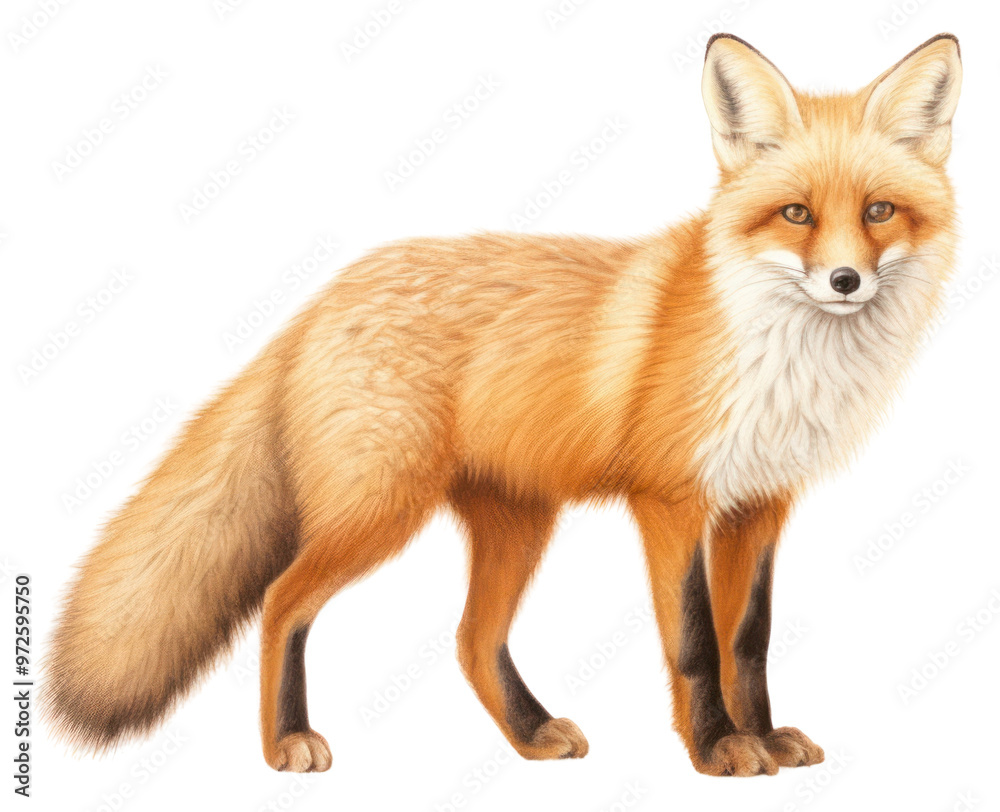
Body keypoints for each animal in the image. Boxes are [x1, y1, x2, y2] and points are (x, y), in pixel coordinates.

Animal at [44, 32, 962, 777]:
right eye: (796, 214)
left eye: (879, 211)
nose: (844, 280)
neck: (780, 358)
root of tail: (321, 299)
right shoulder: (672, 502)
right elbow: (696, 643)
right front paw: (717, 749)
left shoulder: (759, 504)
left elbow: (750, 641)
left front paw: (763, 736)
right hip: (383, 511)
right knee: (281, 602)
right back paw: (285, 743)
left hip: (516, 523)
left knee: (469, 639)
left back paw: (528, 735)